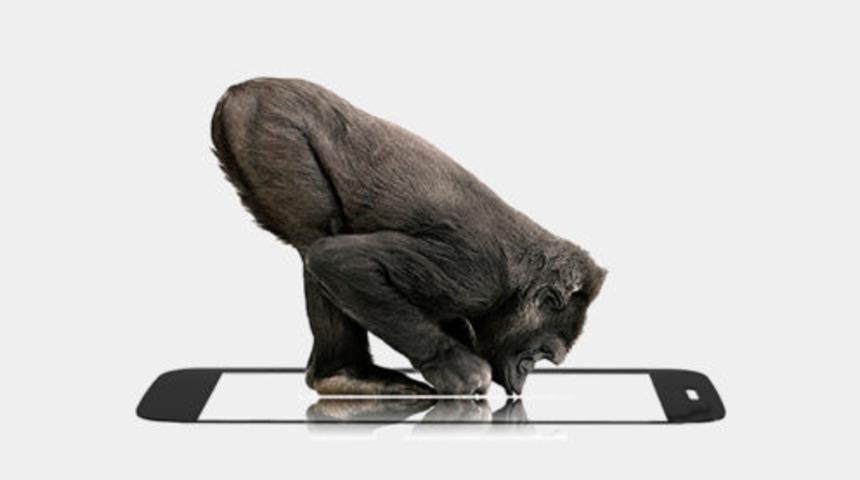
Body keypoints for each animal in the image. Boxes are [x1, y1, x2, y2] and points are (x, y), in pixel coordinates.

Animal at [211, 78, 606, 396]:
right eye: (539, 353)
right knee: (317, 239)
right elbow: (341, 261)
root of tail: (239, 90)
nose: (524, 378)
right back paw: (344, 373)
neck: (515, 287)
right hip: (269, 126)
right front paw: (455, 368)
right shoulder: (477, 275)